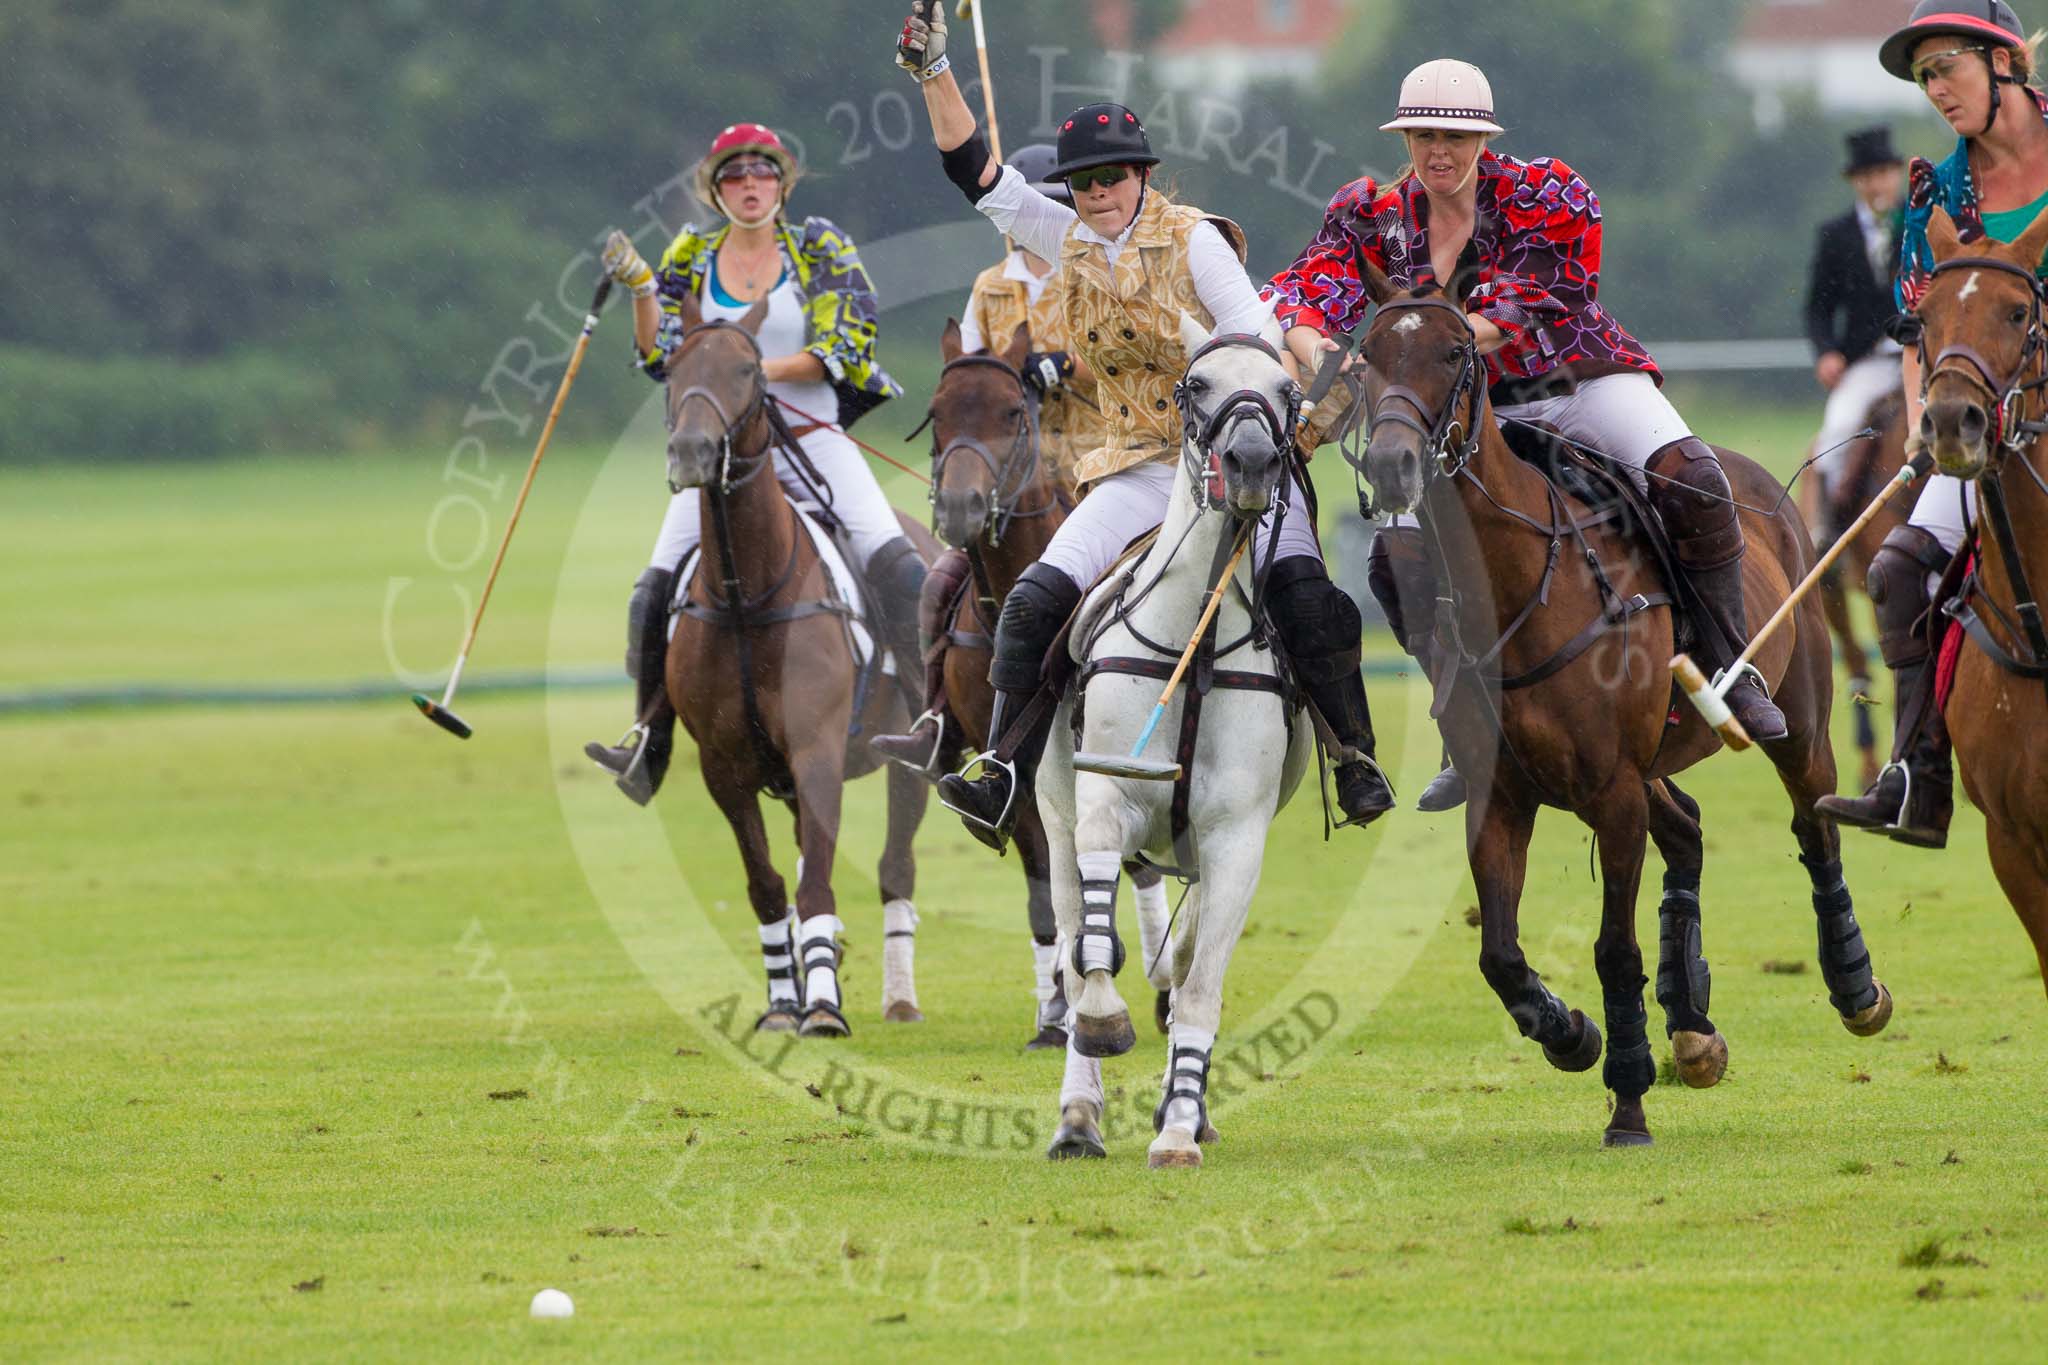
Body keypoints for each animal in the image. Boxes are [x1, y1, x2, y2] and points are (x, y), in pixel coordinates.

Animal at [661, 291, 937, 1037]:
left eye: (749, 371)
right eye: (672, 367)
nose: (693, 452)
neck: (746, 596)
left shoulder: (817, 751)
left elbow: (817, 881)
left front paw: (822, 1007)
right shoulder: (723, 767)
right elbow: (767, 885)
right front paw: (786, 1001)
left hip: (907, 762)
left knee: (896, 865)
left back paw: (900, 998)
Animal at [890, 318, 1173, 1050]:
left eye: (1013, 413)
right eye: (938, 413)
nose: (961, 507)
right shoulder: (1013, 777)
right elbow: (1042, 883)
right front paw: (1054, 1012)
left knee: (1144, 865)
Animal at [1036, 318, 1316, 1169]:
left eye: (1287, 389)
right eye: (1195, 386)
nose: (1252, 462)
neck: (1195, 642)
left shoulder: (1236, 840)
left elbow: (1197, 991)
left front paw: (1179, 1130)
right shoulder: (1105, 794)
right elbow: (1093, 948)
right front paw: (1103, 1023)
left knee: (1185, 959)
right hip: (1053, 819)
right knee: (1072, 940)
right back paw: (1077, 1118)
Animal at [1351, 266, 1892, 1147]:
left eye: (1455, 351)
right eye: (1366, 355)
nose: (1395, 464)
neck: (1519, 586)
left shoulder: (1610, 793)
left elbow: (1613, 948)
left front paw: (1629, 1100)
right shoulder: (1504, 794)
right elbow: (1499, 952)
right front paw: (1572, 1033)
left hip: (1798, 711)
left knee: (1815, 823)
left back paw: (1853, 986)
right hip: (1649, 762)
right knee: (1690, 827)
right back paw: (1692, 1024)